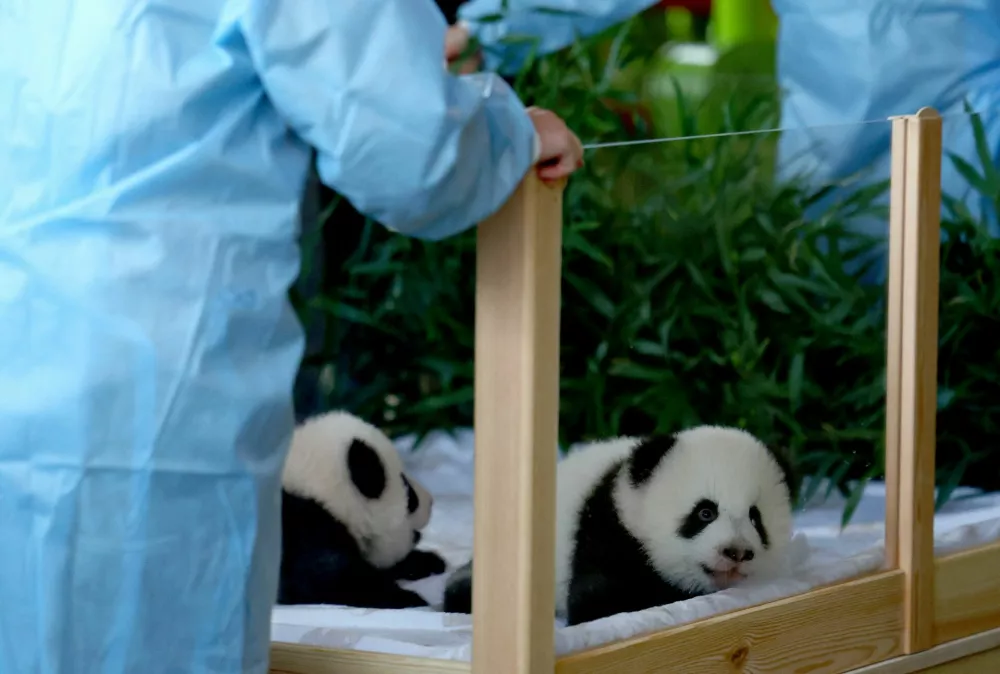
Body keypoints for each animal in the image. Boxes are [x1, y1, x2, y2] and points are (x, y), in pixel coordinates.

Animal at [278, 410, 448, 608]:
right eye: (409, 491)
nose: (431, 501)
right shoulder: (302, 528)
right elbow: (330, 581)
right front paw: (408, 598)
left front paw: (427, 561)